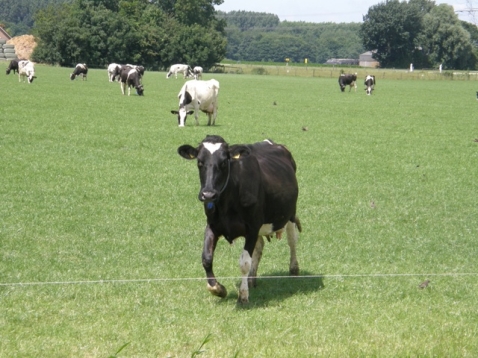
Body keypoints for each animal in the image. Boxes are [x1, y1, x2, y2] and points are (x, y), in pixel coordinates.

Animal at [177, 136, 300, 304]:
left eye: (224, 162)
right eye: (199, 162)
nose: (208, 195)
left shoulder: (252, 228)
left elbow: (244, 263)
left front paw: (243, 296)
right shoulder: (212, 226)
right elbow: (206, 258)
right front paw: (217, 288)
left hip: (290, 214)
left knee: (292, 240)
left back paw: (294, 269)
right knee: (259, 246)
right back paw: (251, 279)